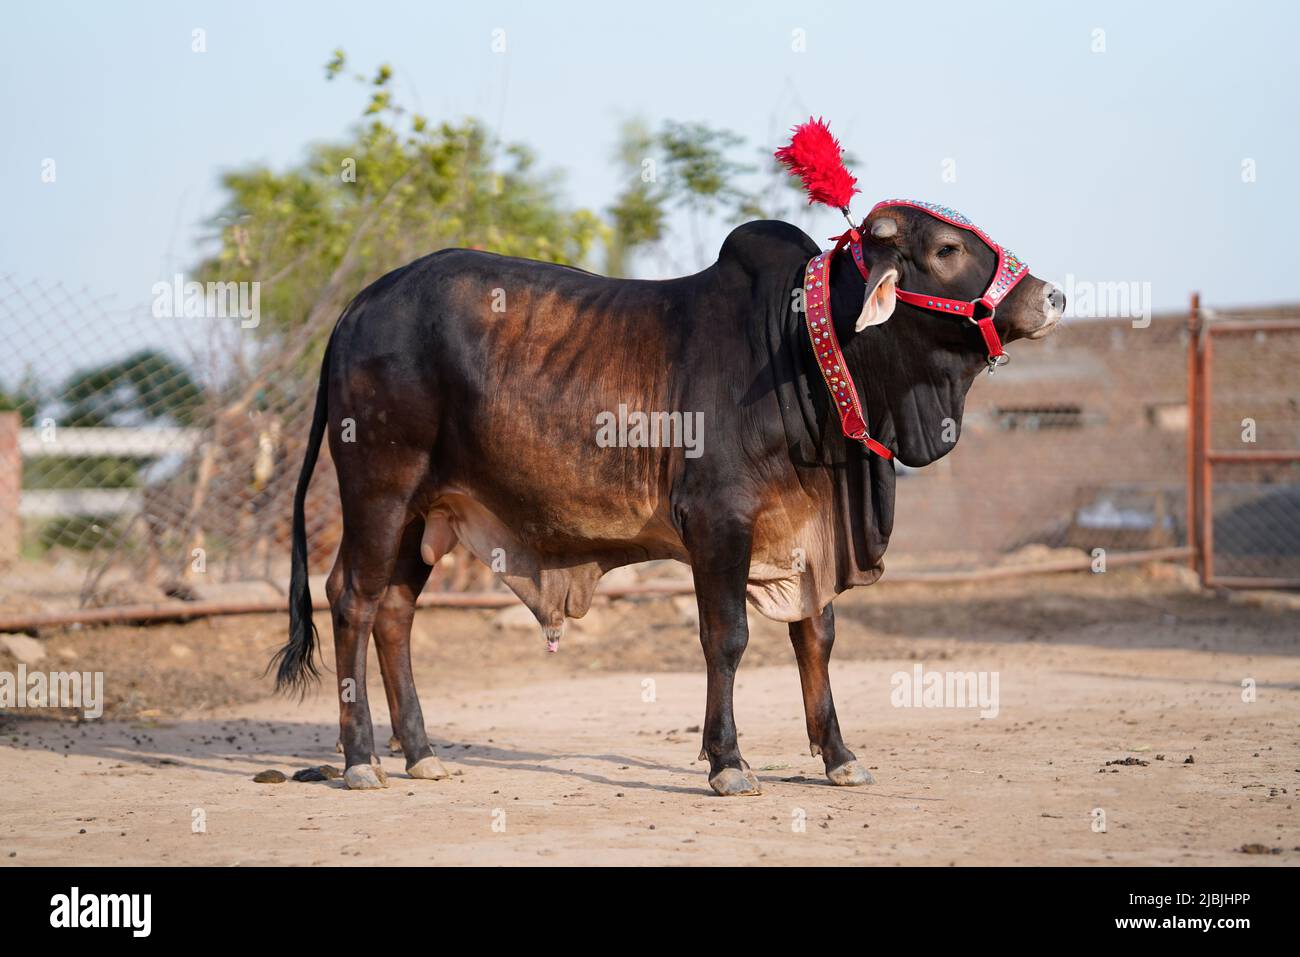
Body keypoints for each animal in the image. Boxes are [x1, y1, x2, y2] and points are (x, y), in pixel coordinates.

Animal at [271, 203, 1063, 795]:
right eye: (948, 247)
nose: (1052, 295)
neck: (800, 351)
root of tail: (359, 305)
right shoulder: (719, 521)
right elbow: (727, 638)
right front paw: (729, 763)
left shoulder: (809, 535)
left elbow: (817, 637)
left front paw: (840, 756)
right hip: (380, 488)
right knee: (352, 598)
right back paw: (361, 760)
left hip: (425, 511)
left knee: (395, 612)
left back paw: (422, 752)